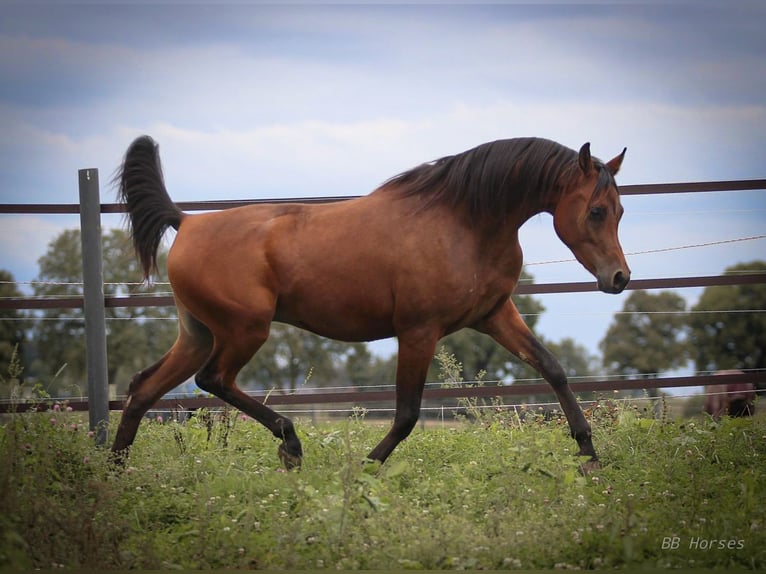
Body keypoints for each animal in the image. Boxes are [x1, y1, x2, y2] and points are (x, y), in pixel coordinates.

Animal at [112, 135, 632, 472]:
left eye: (621, 210)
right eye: (596, 210)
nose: (619, 277)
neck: (463, 223)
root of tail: (188, 222)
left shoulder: (494, 315)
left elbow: (554, 369)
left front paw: (589, 454)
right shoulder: (419, 331)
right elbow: (406, 414)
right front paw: (367, 465)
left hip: (199, 334)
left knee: (143, 388)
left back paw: (116, 471)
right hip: (244, 330)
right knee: (213, 380)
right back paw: (291, 444)